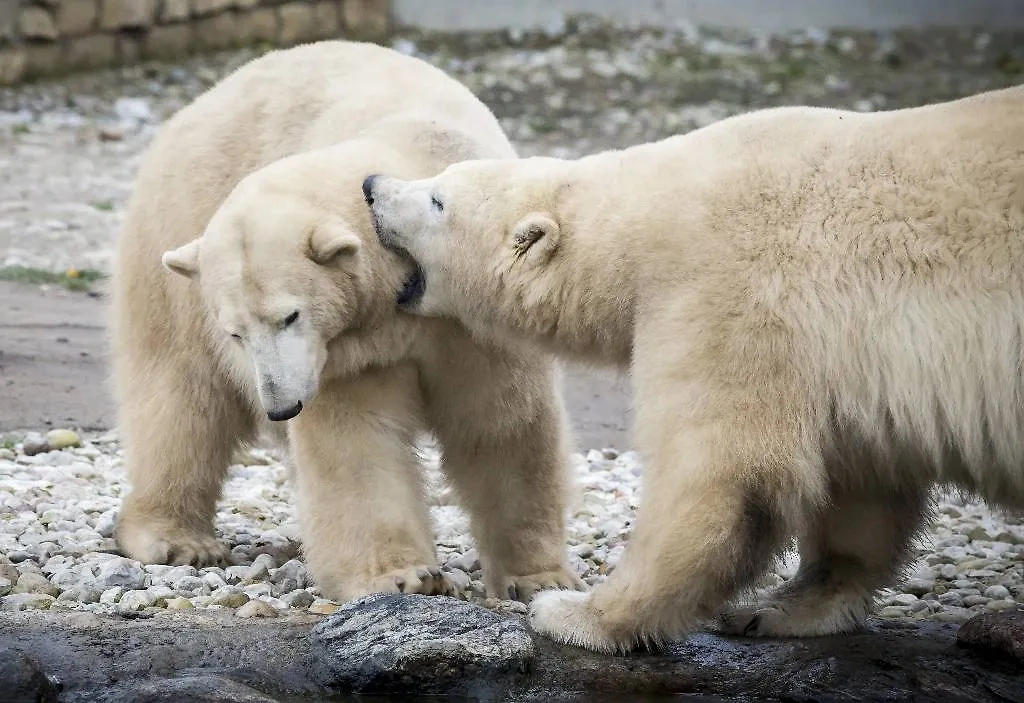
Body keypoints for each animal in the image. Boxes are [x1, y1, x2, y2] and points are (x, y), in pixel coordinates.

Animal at [110, 41, 585, 605]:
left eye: (289, 315)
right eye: (237, 332)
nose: (281, 406)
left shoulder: (470, 315)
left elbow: (502, 423)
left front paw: (539, 576)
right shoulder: (350, 351)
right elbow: (359, 439)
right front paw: (404, 576)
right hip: (172, 238)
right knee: (182, 396)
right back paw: (176, 540)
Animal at [364, 85, 1024, 650]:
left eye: (436, 200)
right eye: (436, 180)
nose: (371, 185)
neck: (642, 222)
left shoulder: (725, 291)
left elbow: (718, 471)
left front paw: (578, 614)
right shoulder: (844, 360)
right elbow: (863, 477)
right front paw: (783, 607)